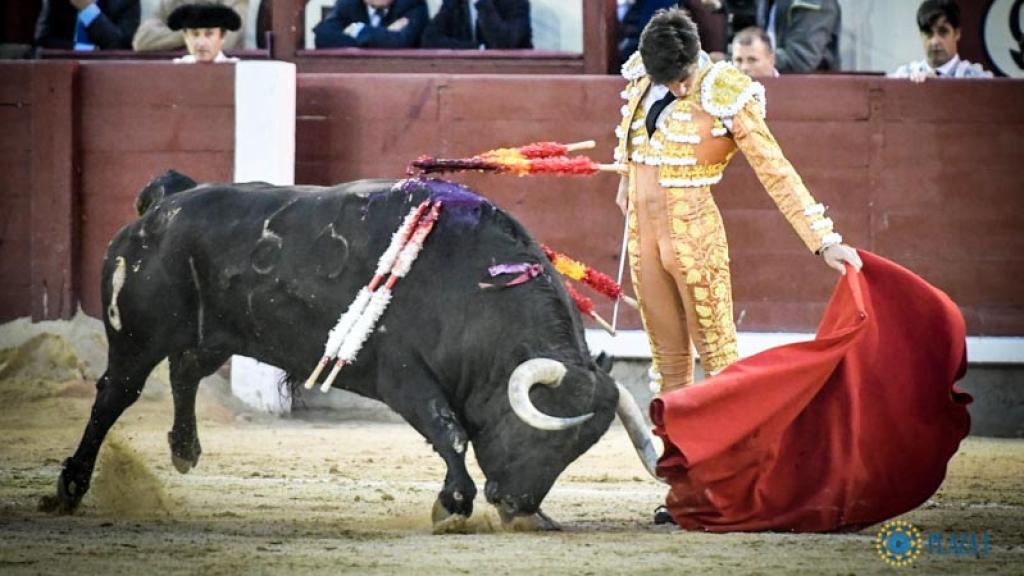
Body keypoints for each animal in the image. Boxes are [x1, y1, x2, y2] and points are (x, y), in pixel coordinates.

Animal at [44, 169, 659, 524]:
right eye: (543, 437)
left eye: (576, 450)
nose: (519, 508)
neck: (474, 287)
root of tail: (162, 207)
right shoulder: (403, 376)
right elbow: (451, 433)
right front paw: (453, 505)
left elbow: (453, 434)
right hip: (138, 335)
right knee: (114, 395)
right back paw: (69, 489)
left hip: (214, 332)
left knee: (185, 371)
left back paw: (184, 450)